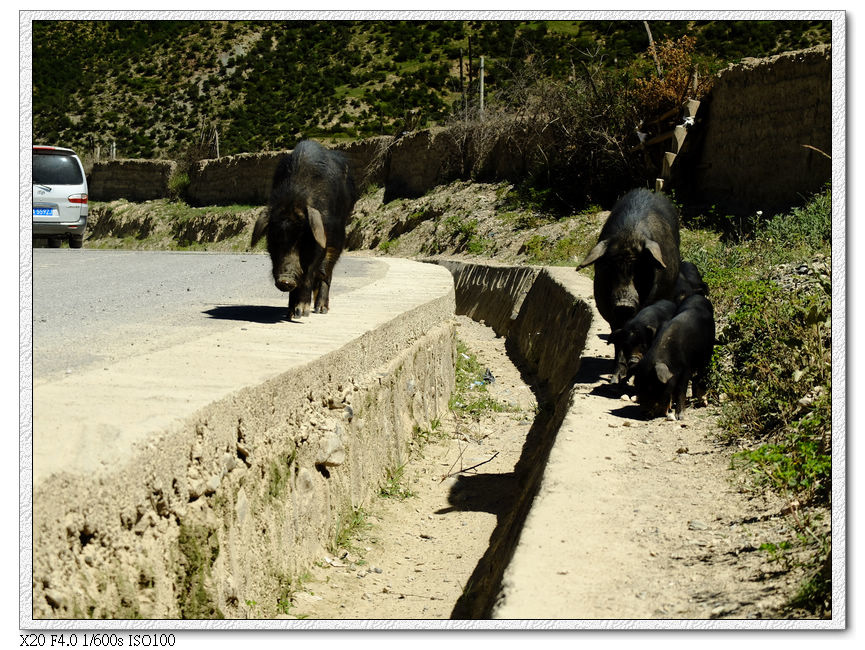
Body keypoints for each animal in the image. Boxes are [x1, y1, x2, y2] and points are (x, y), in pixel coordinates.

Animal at [251, 139, 356, 318]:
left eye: (304, 238)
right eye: (273, 238)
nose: (285, 280)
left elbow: (310, 272)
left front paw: (301, 312)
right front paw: (291, 314)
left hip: (338, 238)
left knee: (326, 273)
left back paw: (321, 309)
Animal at [576, 187, 680, 382]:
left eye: (640, 269)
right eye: (610, 268)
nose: (624, 304)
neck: (629, 234)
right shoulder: (610, 309)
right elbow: (619, 339)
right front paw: (616, 378)